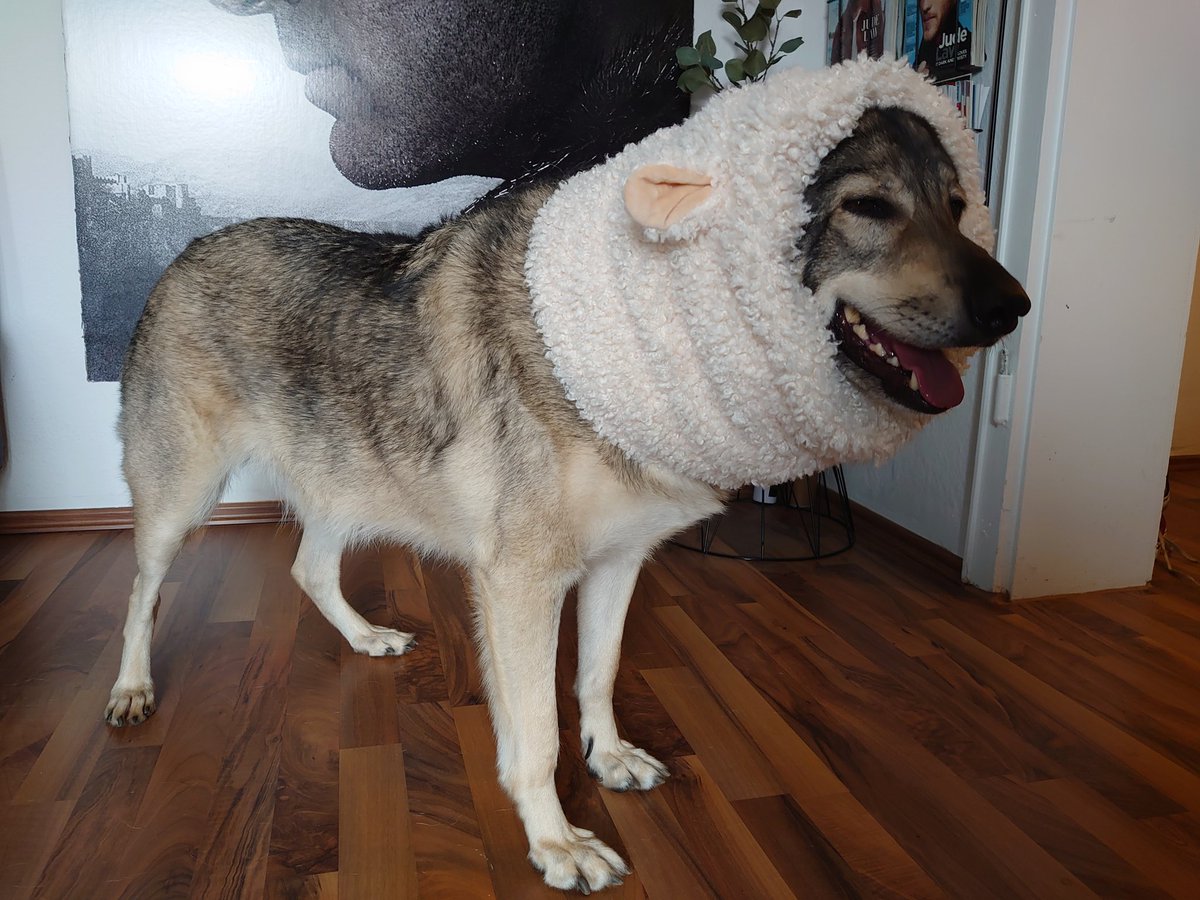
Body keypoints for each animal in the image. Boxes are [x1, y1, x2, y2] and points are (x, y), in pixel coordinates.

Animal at [106, 62, 1029, 892]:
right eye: (869, 207)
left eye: (958, 209)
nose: (1014, 308)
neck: (615, 348)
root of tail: (186, 250)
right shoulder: (522, 584)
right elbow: (538, 737)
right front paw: (556, 845)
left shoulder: (620, 563)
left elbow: (598, 675)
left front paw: (609, 757)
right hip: (182, 501)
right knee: (143, 591)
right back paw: (131, 690)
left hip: (350, 482)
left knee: (308, 567)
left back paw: (367, 638)